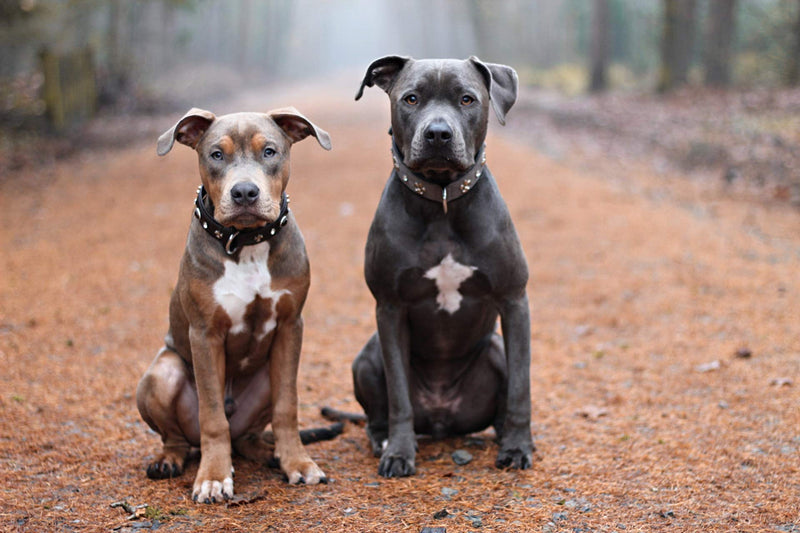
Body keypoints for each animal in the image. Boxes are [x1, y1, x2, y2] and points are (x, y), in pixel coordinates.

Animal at [139, 107, 332, 502]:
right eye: (216, 155)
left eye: (269, 151)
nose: (244, 191)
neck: (246, 243)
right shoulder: (205, 334)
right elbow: (213, 416)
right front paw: (213, 476)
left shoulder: (290, 326)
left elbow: (287, 407)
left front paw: (297, 462)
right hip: (161, 373)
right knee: (180, 436)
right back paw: (170, 460)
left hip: (267, 376)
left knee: (247, 434)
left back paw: (267, 452)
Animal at [354, 56, 536, 476]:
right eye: (411, 98)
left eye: (467, 99)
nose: (438, 133)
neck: (441, 201)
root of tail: (441, 419)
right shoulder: (389, 308)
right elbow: (399, 395)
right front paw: (399, 452)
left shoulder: (514, 300)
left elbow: (522, 388)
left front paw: (518, 447)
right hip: (366, 356)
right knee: (378, 412)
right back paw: (382, 439)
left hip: (495, 347)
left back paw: (503, 435)